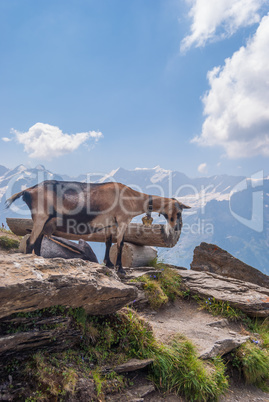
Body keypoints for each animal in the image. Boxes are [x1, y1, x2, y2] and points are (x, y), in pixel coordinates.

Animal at [5, 181, 191, 274]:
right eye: (179, 212)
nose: (177, 228)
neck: (132, 197)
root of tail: (28, 191)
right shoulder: (122, 221)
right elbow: (120, 244)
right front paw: (120, 269)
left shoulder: (110, 223)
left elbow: (109, 242)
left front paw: (108, 263)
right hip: (40, 217)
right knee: (30, 242)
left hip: (45, 221)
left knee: (37, 241)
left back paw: (40, 260)